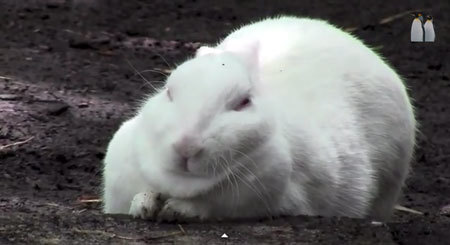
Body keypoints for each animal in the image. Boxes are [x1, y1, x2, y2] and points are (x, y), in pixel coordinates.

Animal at [102, 15, 414, 222]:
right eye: (168, 92)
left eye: (243, 103)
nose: (186, 146)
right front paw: (143, 205)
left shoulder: (271, 196)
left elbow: (211, 207)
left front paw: (177, 209)